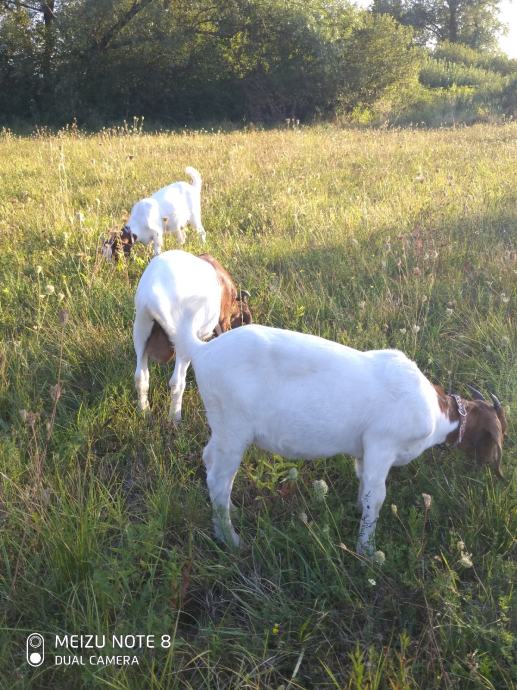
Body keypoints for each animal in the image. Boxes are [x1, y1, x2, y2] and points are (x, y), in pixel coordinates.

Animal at [133, 249, 251, 422]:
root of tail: (154, 297)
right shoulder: (223, 321)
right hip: (182, 340)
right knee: (177, 382)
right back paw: (174, 418)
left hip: (140, 330)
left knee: (141, 377)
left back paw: (144, 412)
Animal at [173, 322, 507, 555]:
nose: (493, 475)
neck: (438, 413)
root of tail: (202, 351)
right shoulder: (382, 444)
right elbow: (378, 496)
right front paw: (367, 551)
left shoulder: (364, 451)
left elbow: (363, 482)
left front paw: (358, 510)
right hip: (234, 427)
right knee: (219, 479)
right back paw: (232, 539)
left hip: (222, 428)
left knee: (209, 459)